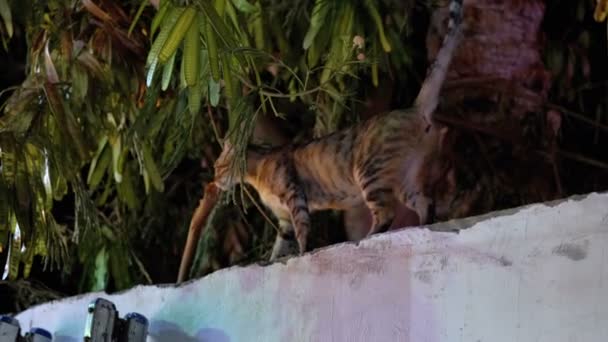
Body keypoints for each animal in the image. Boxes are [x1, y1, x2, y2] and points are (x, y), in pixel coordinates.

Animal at [211, 0, 464, 260]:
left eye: (217, 167)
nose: (214, 181)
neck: (258, 169)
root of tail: (413, 108)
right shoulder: (283, 218)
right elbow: (280, 246)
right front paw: (272, 261)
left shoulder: (294, 196)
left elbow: (302, 232)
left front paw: (302, 254)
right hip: (406, 179)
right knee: (425, 203)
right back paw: (423, 226)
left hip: (369, 173)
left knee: (387, 213)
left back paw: (368, 238)